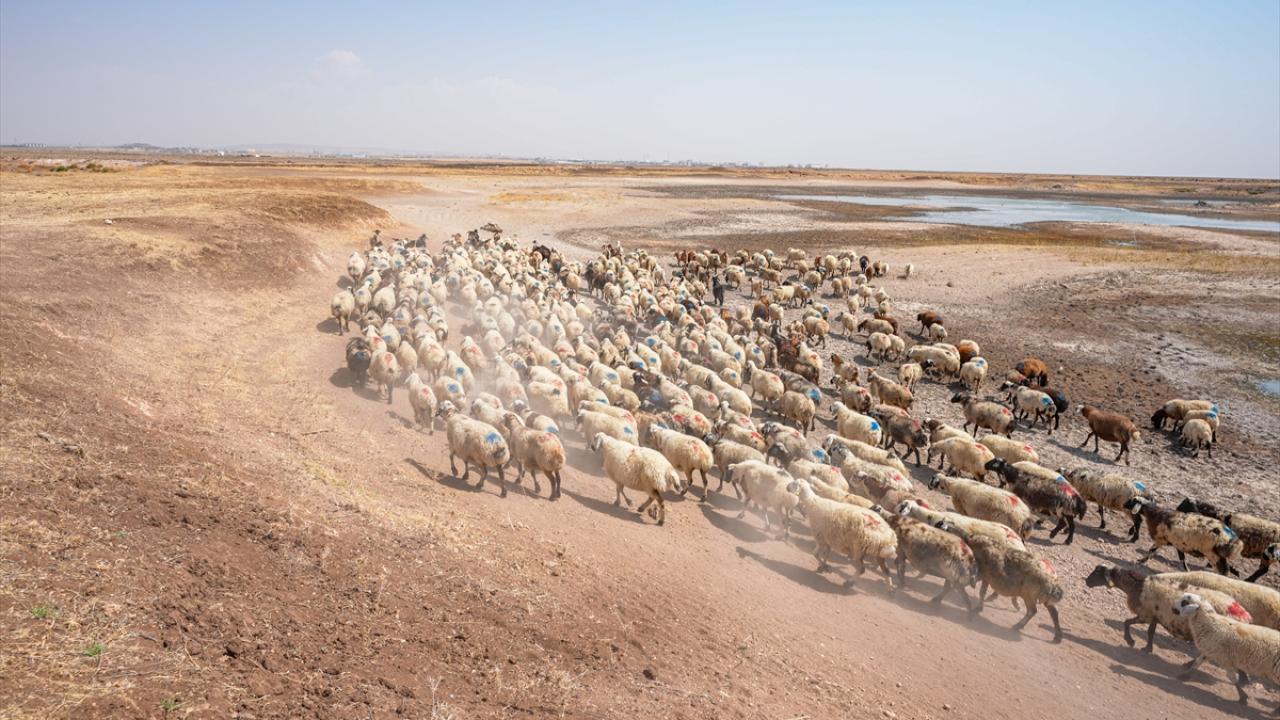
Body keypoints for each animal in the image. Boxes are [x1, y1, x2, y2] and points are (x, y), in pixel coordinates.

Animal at [1084, 565, 1251, 652]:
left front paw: (1130, 641)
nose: (1086, 582)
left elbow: (1127, 622)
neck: (1138, 585)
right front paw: (1147, 649)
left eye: (1098, 573)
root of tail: (1243, 614)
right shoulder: (1155, 615)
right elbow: (1150, 632)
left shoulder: (1145, 613)